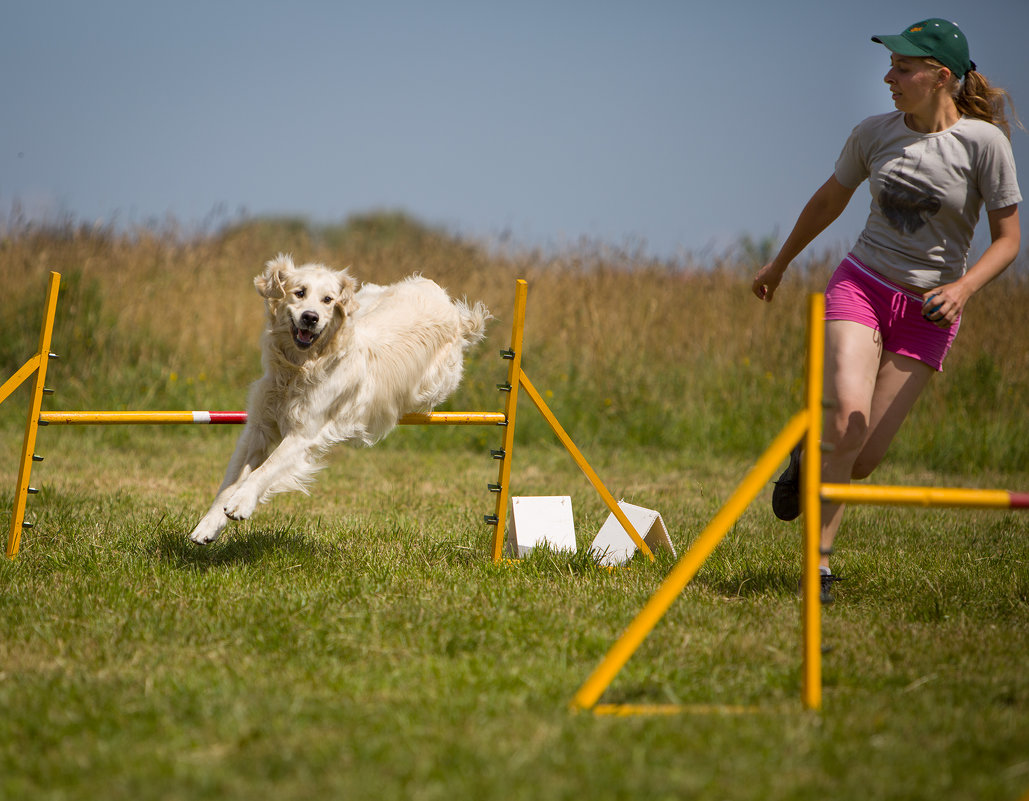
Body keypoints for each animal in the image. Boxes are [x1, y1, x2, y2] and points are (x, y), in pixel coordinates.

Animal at [191, 256, 491, 543]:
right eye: (300, 293)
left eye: (328, 299)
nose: (310, 317)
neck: (298, 369)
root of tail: (442, 297)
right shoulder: (259, 427)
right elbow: (230, 482)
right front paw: (207, 526)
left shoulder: (305, 434)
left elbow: (266, 469)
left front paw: (241, 502)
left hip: (440, 379)